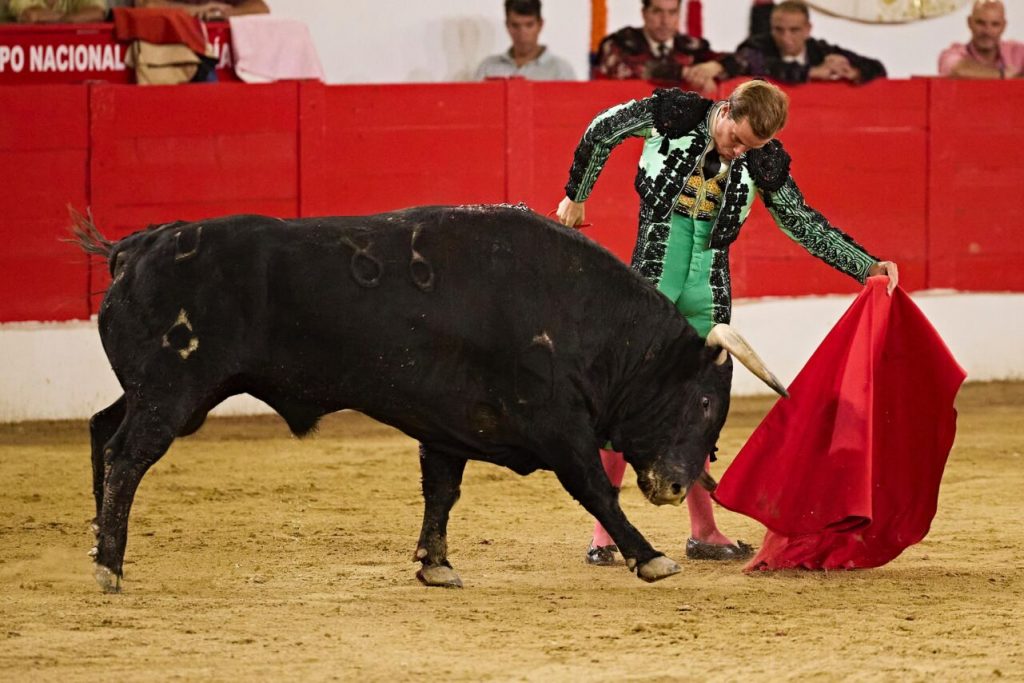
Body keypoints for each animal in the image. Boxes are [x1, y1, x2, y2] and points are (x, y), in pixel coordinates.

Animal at [75, 202, 782, 593]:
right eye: (703, 403)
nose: (675, 484)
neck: (578, 312)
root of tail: (135, 247)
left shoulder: (449, 428)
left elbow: (441, 492)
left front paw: (435, 566)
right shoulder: (557, 425)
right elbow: (594, 489)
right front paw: (651, 558)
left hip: (163, 393)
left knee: (102, 430)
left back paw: (99, 544)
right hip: (174, 391)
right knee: (128, 455)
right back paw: (110, 565)